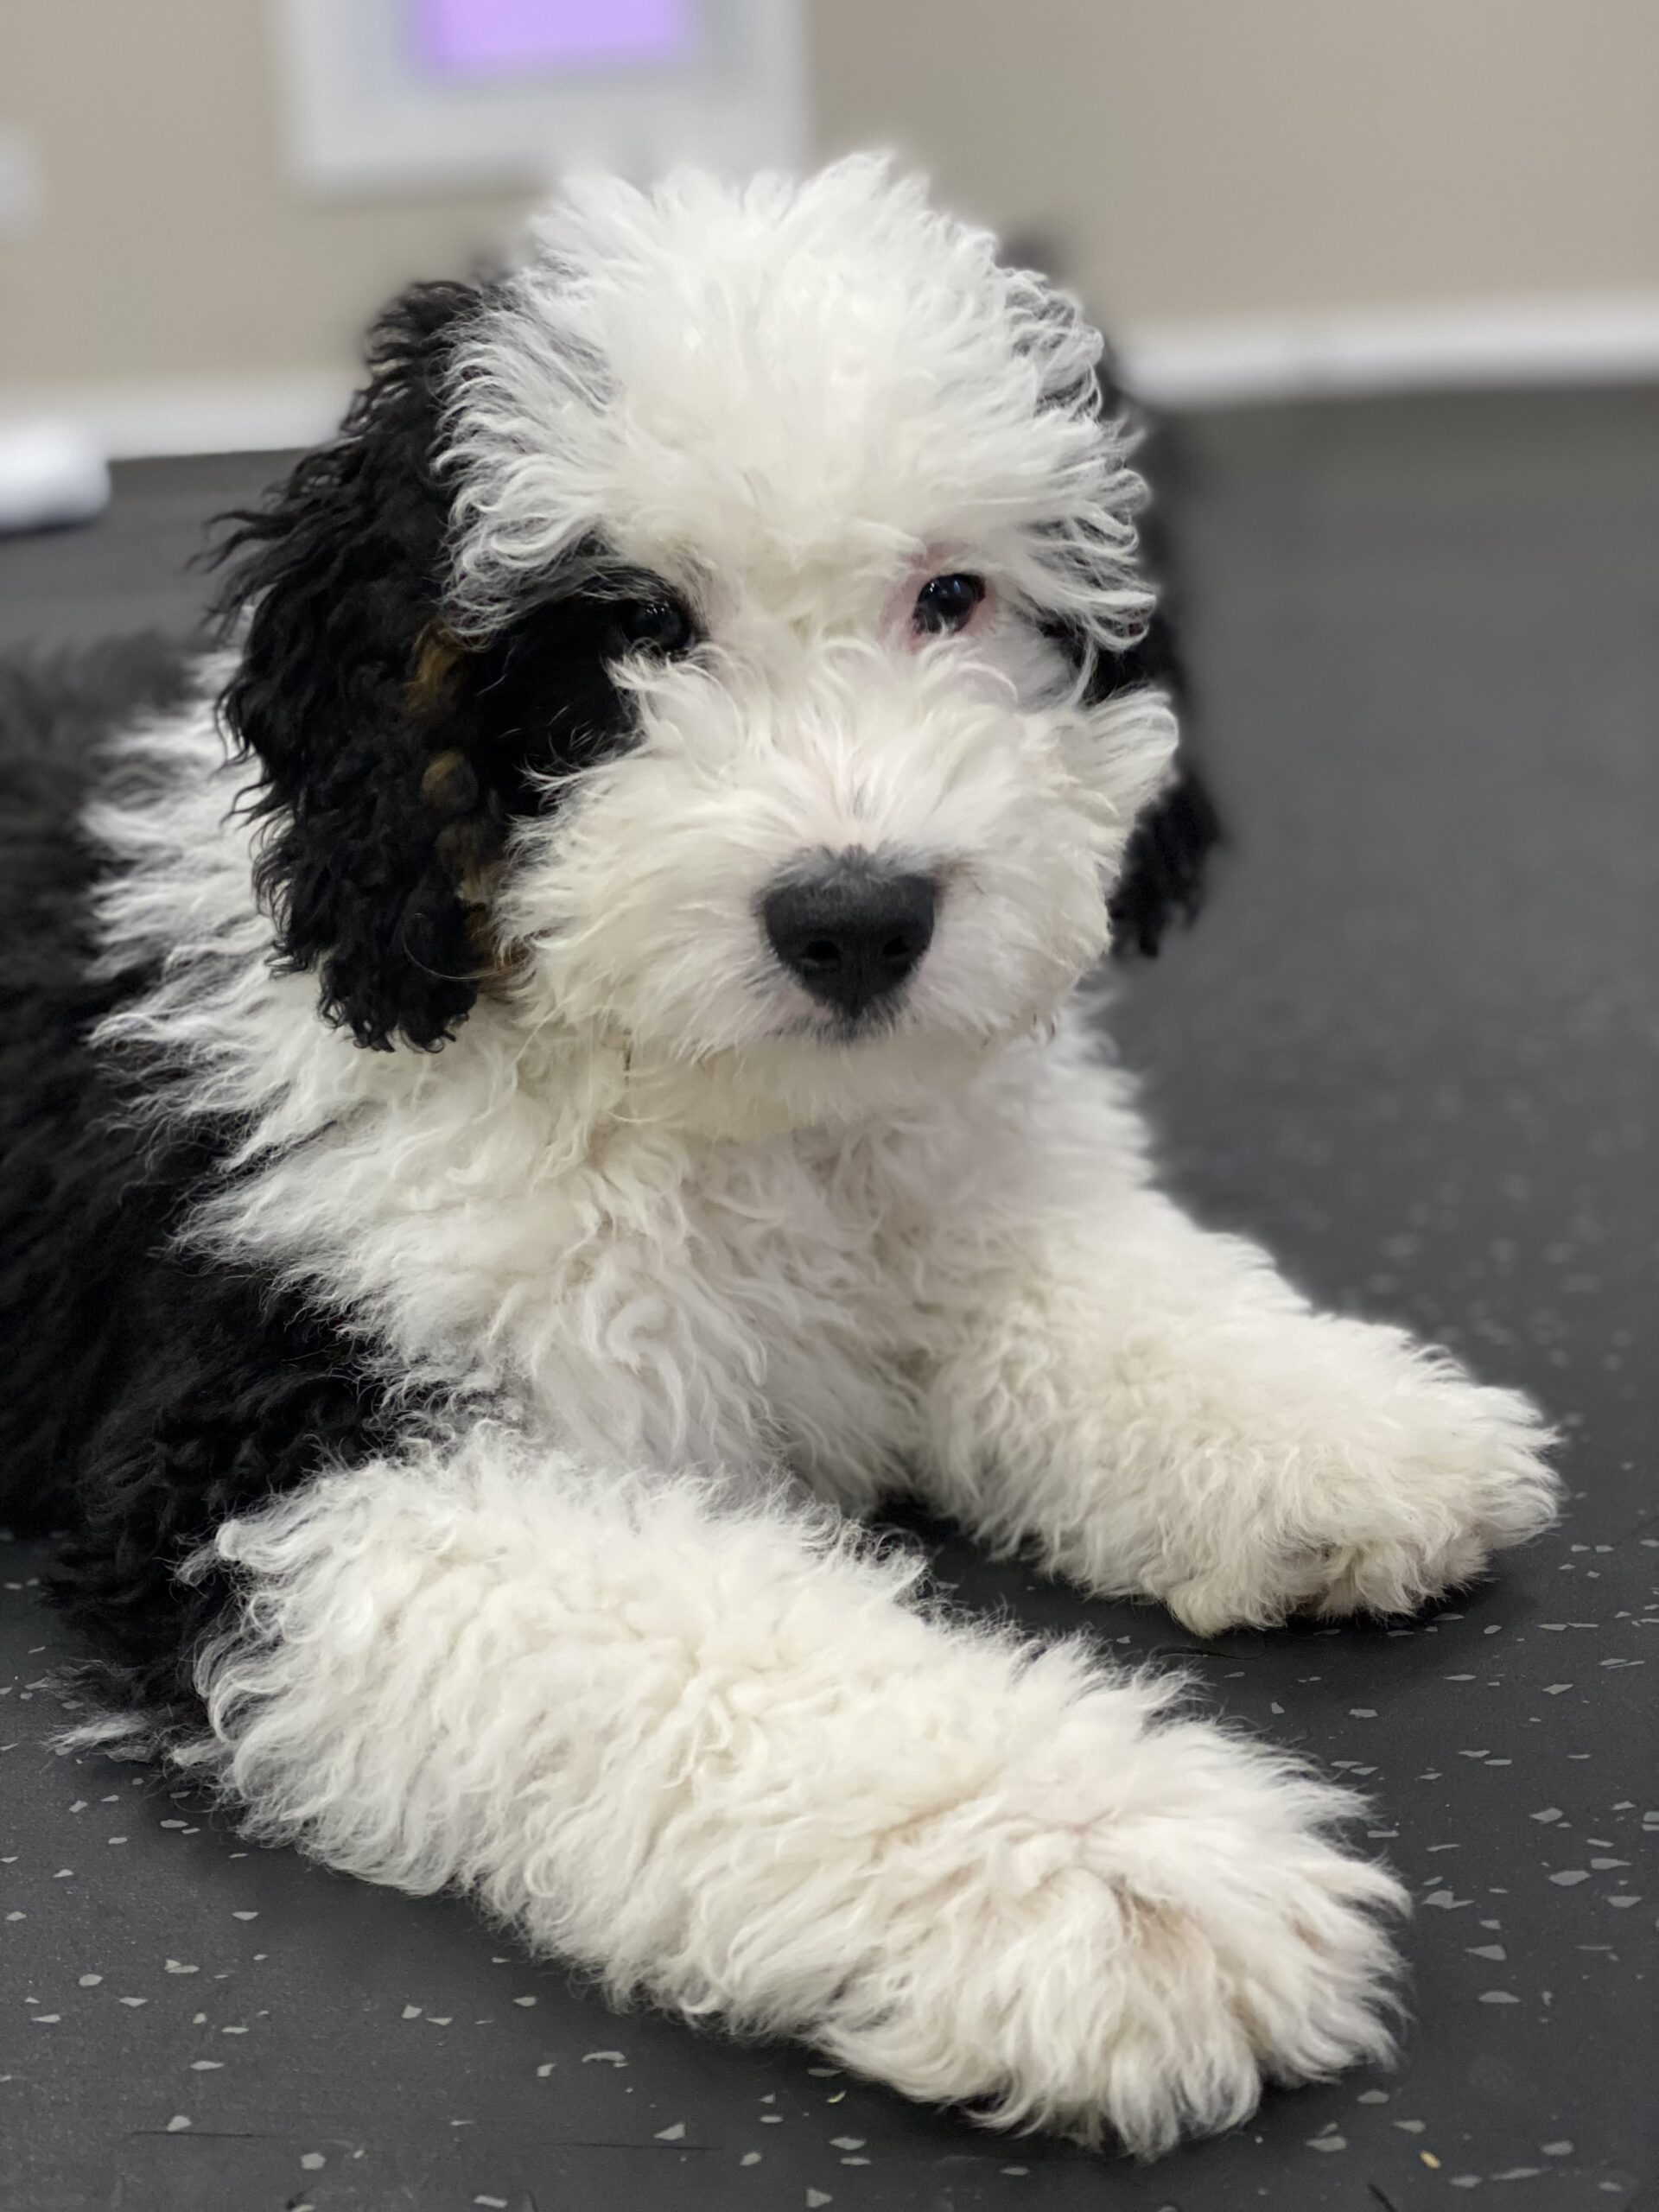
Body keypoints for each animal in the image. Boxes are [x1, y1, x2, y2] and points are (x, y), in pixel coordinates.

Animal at [0, 160, 1557, 2158]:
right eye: (627, 630)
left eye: (952, 594)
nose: (859, 919)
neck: (697, 1101)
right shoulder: (270, 1445)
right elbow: (690, 1631)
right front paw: (1088, 1873)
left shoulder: (937, 1202)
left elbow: (1079, 1285)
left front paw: (1318, 1423)